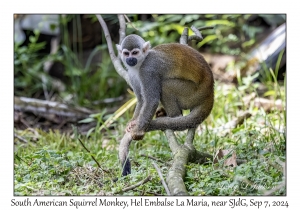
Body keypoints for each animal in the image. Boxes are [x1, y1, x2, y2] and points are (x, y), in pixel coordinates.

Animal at [116, 34, 213, 176]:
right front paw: (133, 122)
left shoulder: (148, 69)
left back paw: (175, 117)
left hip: (194, 94)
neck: (140, 64)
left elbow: (151, 99)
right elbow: (141, 99)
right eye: (126, 53)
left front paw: (138, 130)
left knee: (165, 85)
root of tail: (211, 91)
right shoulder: (131, 73)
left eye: (135, 52)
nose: (130, 59)